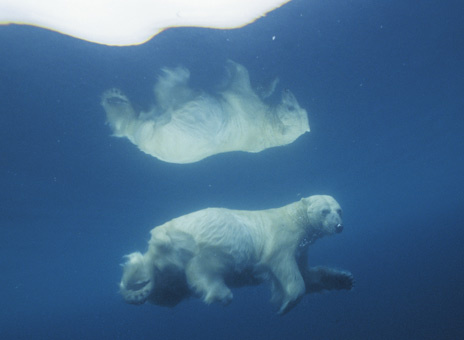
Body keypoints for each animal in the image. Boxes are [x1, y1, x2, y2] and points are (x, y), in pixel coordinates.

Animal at [100, 61, 310, 165]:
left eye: (291, 108)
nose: (287, 91)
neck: (266, 127)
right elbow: (255, 87)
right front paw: (272, 81)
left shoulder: (246, 107)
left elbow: (240, 79)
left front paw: (232, 66)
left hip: (177, 130)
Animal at [118, 195, 352, 314]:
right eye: (324, 211)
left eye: (339, 210)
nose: (339, 226)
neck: (294, 217)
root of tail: (156, 245)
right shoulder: (282, 238)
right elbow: (286, 269)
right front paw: (285, 304)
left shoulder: (302, 248)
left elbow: (308, 274)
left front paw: (343, 279)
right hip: (205, 243)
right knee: (203, 269)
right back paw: (221, 293)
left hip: (169, 272)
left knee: (166, 292)